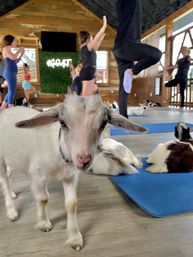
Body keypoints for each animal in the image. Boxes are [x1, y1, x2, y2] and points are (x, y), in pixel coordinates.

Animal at [0, 93, 146, 250]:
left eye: (104, 123)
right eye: (62, 122)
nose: (83, 159)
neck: (59, 152)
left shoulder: (70, 177)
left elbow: (72, 204)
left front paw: (75, 238)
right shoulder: (38, 175)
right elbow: (43, 198)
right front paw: (44, 223)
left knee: (8, 174)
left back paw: (13, 194)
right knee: (4, 179)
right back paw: (12, 211)